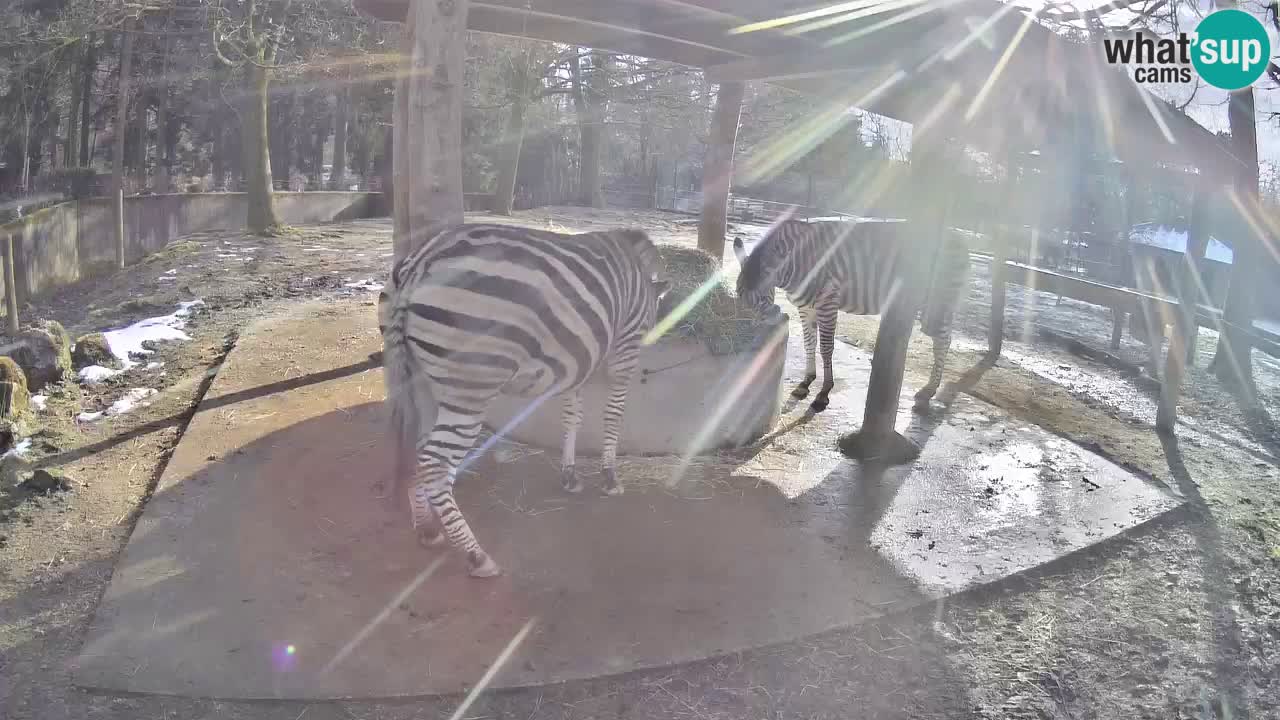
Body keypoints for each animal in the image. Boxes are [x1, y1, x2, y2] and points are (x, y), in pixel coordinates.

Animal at [378, 223, 671, 577]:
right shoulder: (624, 349)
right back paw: (476, 555)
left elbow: (573, 414)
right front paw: (609, 476)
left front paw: (570, 475)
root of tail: (420, 261)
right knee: (434, 461)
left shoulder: (577, 361)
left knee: (417, 448)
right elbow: (612, 414)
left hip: (420, 381)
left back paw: (427, 528)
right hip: (470, 385)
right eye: (652, 320)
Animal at [731, 219, 970, 414]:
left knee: (943, 341)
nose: (745, 335)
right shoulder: (805, 308)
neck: (795, 264)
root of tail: (958, 234)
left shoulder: (828, 303)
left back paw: (928, 391)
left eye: (762, 296)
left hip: (939, 301)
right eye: (738, 295)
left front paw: (823, 393)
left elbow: (826, 348)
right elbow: (809, 343)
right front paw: (806, 382)